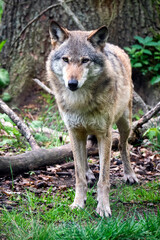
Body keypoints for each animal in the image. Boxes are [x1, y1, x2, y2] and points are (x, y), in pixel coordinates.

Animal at [46, 21, 138, 218]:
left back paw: (130, 175)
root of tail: (113, 46)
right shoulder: (74, 132)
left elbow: (104, 179)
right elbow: (78, 174)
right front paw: (78, 203)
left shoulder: (105, 134)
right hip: (82, 133)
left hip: (125, 123)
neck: (80, 102)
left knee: (123, 146)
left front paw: (103, 208)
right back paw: (89, 174)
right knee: (84, 156)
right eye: (65, 59)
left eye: (85, 60)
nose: (72, 84)